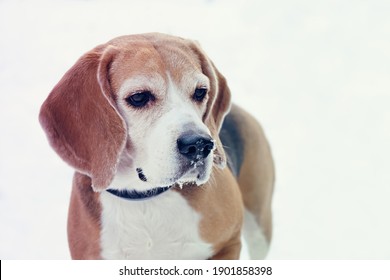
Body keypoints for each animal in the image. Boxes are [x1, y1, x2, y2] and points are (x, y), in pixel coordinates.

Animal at [38, 33, 272, 260]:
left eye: (200, 92)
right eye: (139, 97)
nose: (199, 145)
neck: (145, 197)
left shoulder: (228, 244)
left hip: (259, 227)